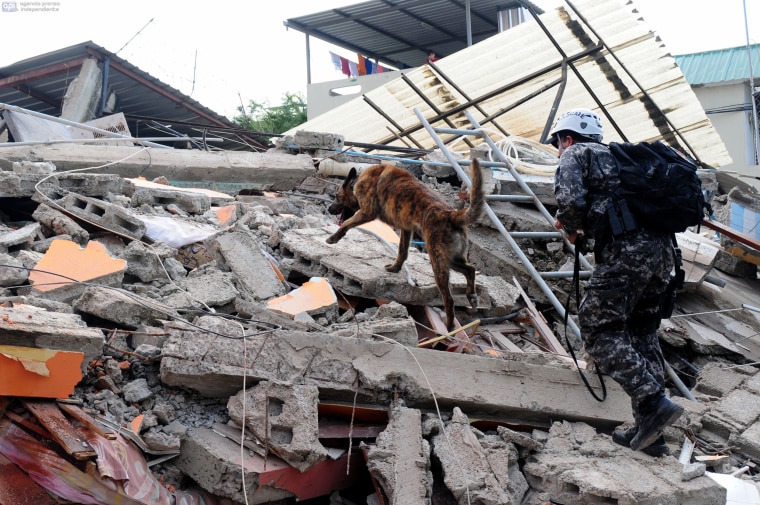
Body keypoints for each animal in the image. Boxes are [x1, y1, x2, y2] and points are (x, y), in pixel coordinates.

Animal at [324, 158, 484, 330]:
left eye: (336, 196)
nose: (329, 208)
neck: (357, 181)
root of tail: (451, 215)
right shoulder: (406, 230)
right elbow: (402, 251)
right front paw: (395, 268)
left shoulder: (367, 212)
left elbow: (347, 223)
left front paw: (333, 238)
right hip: (451, 259)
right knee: (470, 269)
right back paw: (472, 296)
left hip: (438, 263)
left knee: (449, 299)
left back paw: (449, 326)